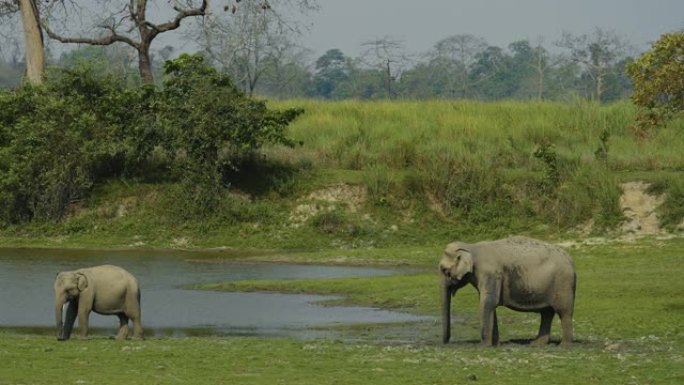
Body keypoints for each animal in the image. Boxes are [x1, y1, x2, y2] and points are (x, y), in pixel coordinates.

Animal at [438, 236, 576, 346]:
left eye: (444, 270)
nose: (446, 343)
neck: (470, 247)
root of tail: (571, 261)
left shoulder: (491, 273)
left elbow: (488, 302)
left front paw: (484, 346)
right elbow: (489, 304)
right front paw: (496, 345)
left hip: (563, 285)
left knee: (564, 312)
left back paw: (564, 345)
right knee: (547, 313)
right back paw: (536, 344)